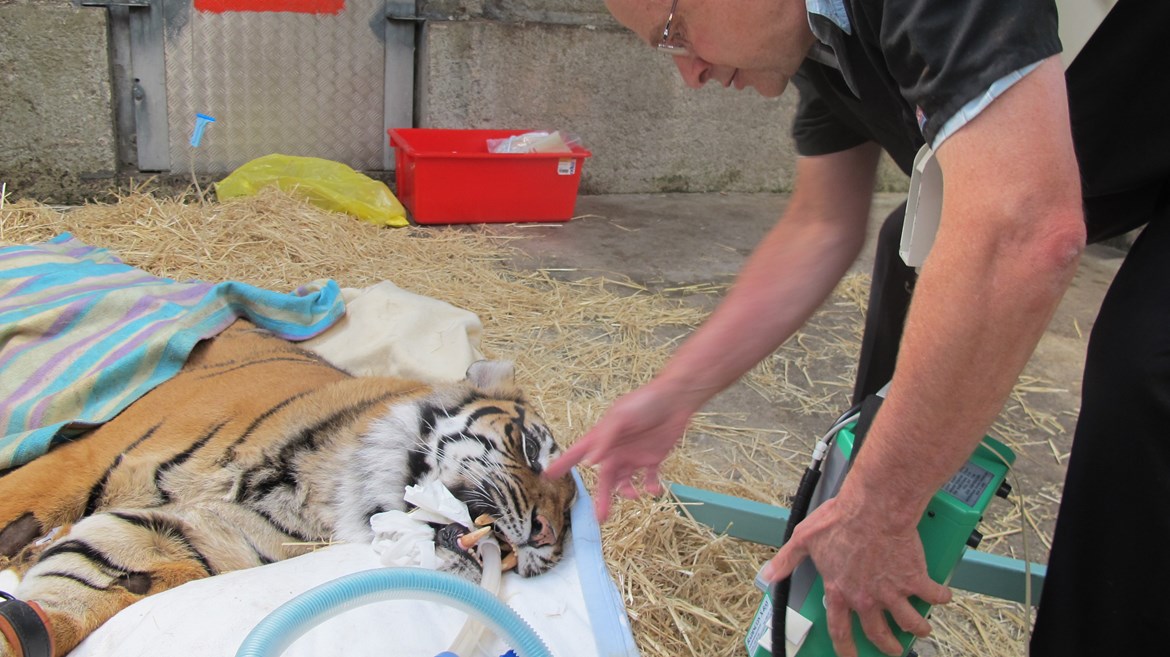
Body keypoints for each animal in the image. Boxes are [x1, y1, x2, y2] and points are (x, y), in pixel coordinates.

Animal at [0, 320, 577, 657]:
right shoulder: (83, 460)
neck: (323, 488)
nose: (546, 539)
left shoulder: (187, 537)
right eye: (531, 449)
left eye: (571, 519)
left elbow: (74, 591)